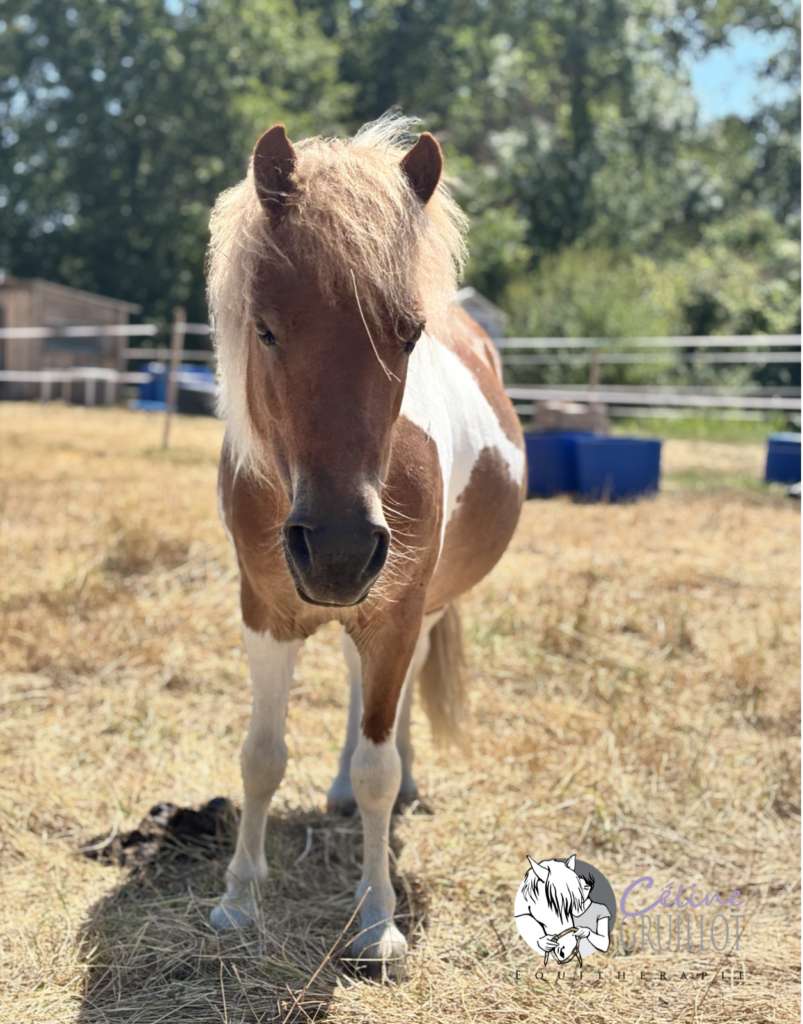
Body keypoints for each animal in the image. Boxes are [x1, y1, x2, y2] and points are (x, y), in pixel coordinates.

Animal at [206, 114, 526, 977]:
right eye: (265, 329)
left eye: (408, 336)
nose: (340, 551)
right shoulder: (263, 612)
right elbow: (259, 755)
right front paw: (238, 899)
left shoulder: (395, 611)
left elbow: (379, 767)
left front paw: (377, 921)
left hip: (418, 607)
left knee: (396, 704)